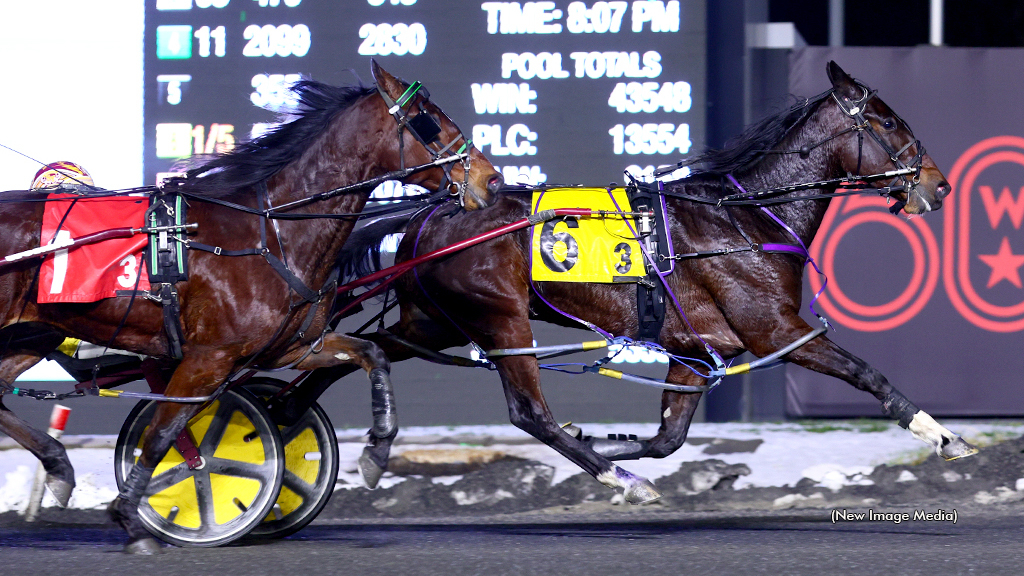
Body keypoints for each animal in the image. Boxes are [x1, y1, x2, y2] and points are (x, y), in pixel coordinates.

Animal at [0, 59, 503, 553]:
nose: (492, 180)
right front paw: (134, 517)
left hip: (32, 334)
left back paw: (59, 467)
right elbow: (164, 433)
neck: (270, 233)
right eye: (428, 121)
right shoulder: (208, 358)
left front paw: (377, 451)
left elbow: (372, 354)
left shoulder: (289, 346)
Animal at [294, 61, 974, 502]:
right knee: (528, 412)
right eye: (887, 122)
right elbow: (865, 373)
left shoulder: (697, 350)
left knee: (357, 353)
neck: (743, 218)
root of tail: (430, 213)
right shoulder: (775, 330)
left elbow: (668, 437)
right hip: (500, 317)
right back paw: (616, 479)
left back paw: (343, 438)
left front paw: (607, 439)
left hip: (431, 322)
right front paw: (943, 435)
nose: (938, 184)